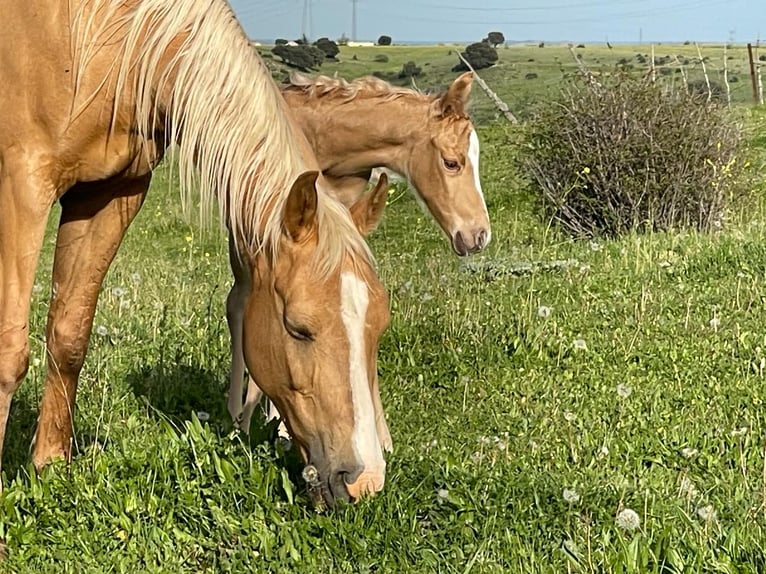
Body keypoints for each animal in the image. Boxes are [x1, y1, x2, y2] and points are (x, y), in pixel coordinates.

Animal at [1, 0, 390, 506]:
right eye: (298, 328)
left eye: (379, 326)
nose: (364, 480)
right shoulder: (23, 188)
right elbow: (10, 352)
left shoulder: (110, 195)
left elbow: (69, 336)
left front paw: (49, 464)